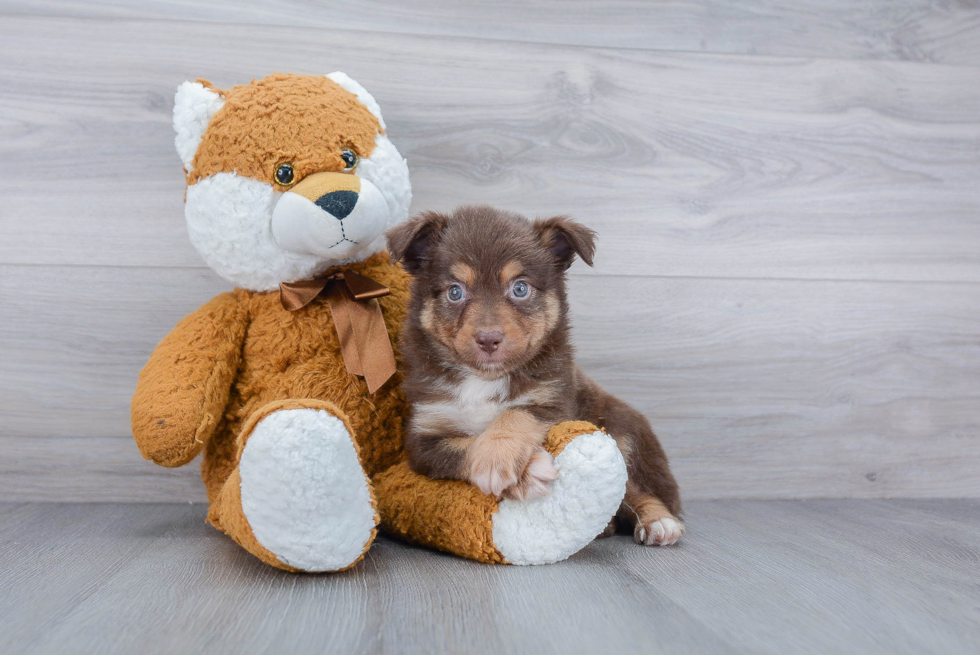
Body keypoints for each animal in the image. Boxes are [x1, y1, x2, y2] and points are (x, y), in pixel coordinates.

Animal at [386, 206, 684, 548]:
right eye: (455, 292)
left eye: (520, 288)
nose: (488, 339)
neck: (483, 379)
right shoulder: (424, 440)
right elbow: (464, 446)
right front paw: (523, 472)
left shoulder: (555, 402)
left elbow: (516, 413)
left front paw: (499, 454)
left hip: (621, 435)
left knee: (639, 491)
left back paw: (658, 522)